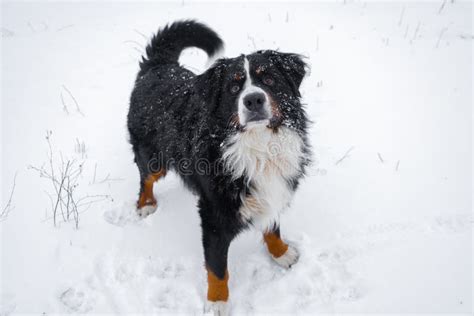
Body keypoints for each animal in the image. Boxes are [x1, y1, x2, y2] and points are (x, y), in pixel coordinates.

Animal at [126, 21, 312, 314]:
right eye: (234, 88)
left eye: (269, 79)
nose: (254, 100)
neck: (258, 146)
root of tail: (159, 66)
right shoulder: (214, 217)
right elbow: (217, 268)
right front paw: (217, 302)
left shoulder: (272, 190)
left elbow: (272, 227)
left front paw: (281, 253)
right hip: (154, 157)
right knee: (146, 178)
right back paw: (145, 204)